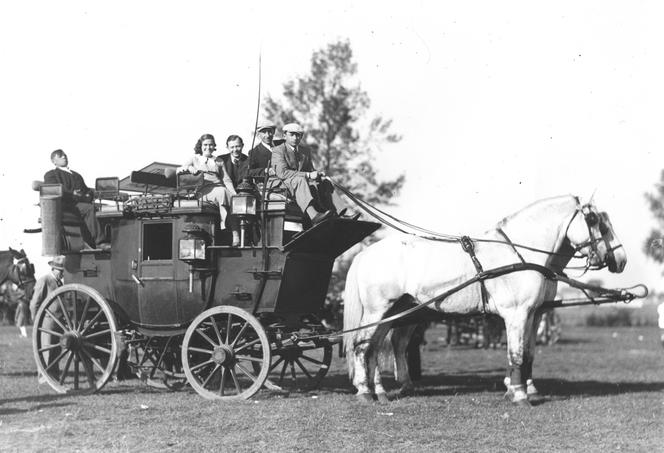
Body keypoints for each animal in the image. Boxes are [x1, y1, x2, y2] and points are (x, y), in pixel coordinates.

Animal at [344, 196, 624, 404]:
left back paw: (380, 391)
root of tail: (366, 253)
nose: (621, 260)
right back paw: (366, 393)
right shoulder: (516, 313)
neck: (518, 253)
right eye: (595, 221)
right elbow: (517, 354)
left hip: (396, 312)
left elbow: (528, 354)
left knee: (377, 346)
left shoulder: (533, 314)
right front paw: (520, 395)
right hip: (378, 310)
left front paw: (518, 388)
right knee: (362, 346)